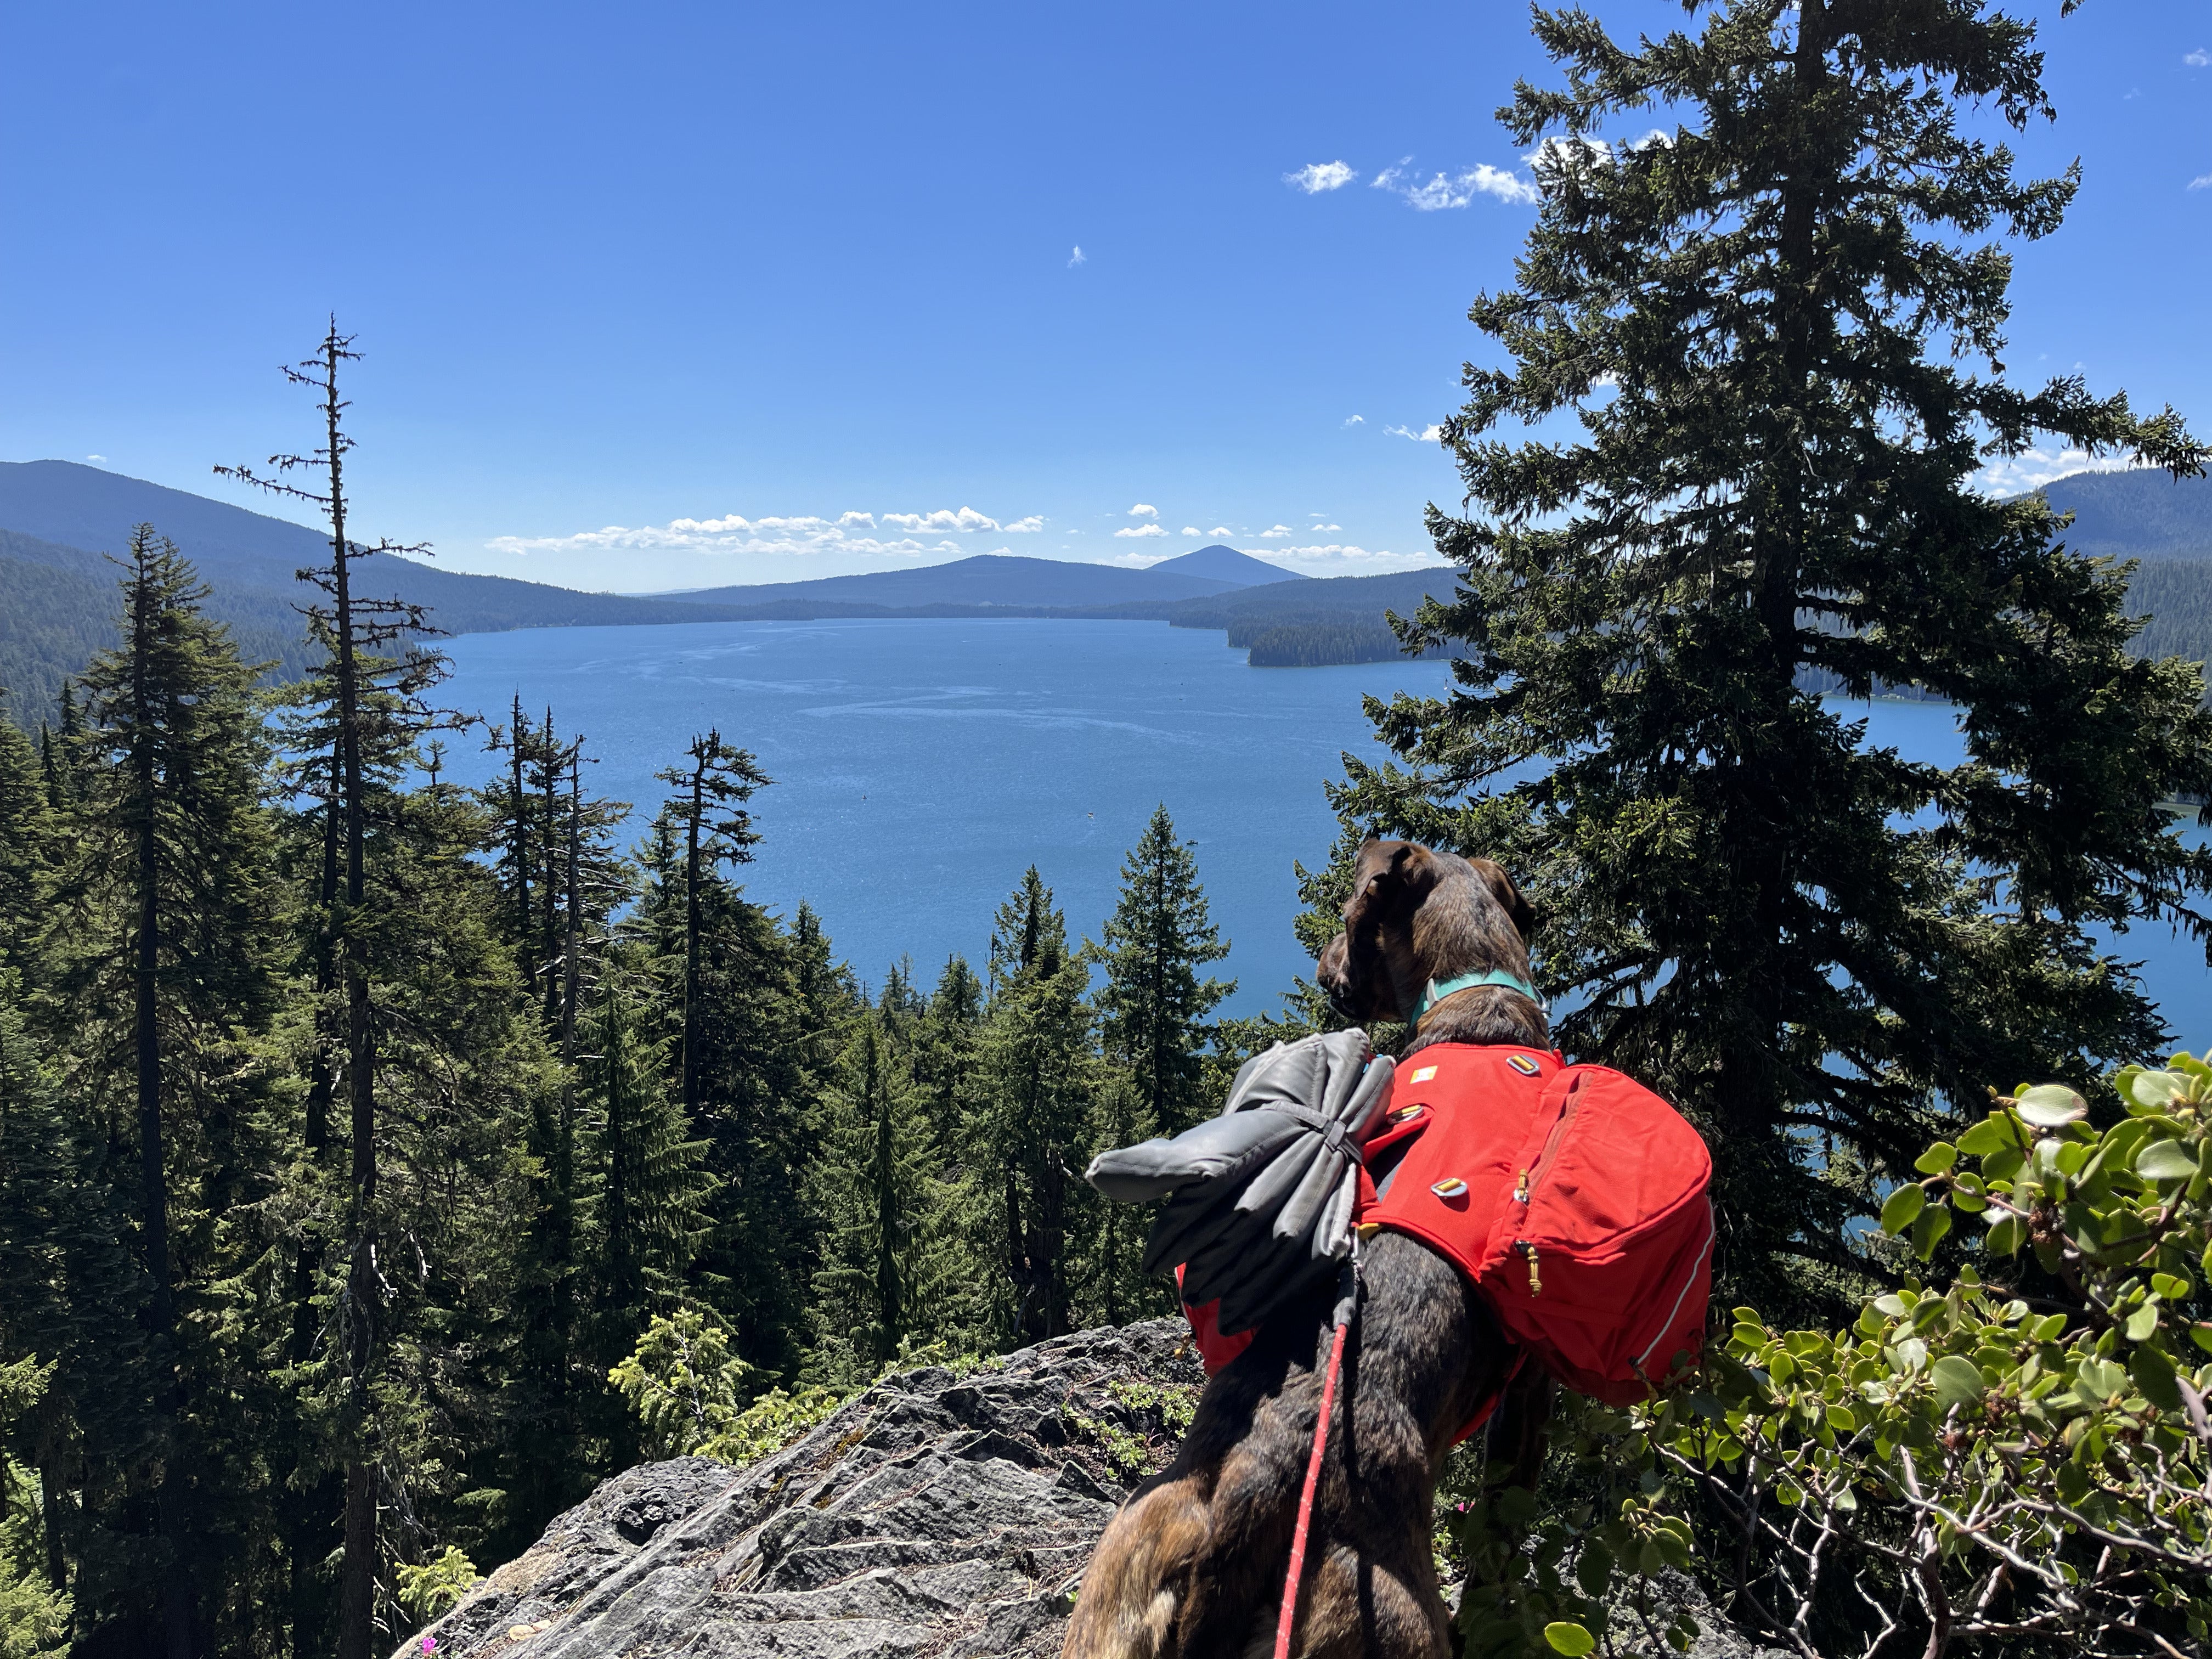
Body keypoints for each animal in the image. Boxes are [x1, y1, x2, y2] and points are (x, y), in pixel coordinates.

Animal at [1057, 845, 1548, 1659]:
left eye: (1349, 920)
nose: (1321, 965)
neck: (1476, 990)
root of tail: (1255, 1488)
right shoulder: (1530, 1388)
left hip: (1120, 1587)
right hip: (1386, 1625)